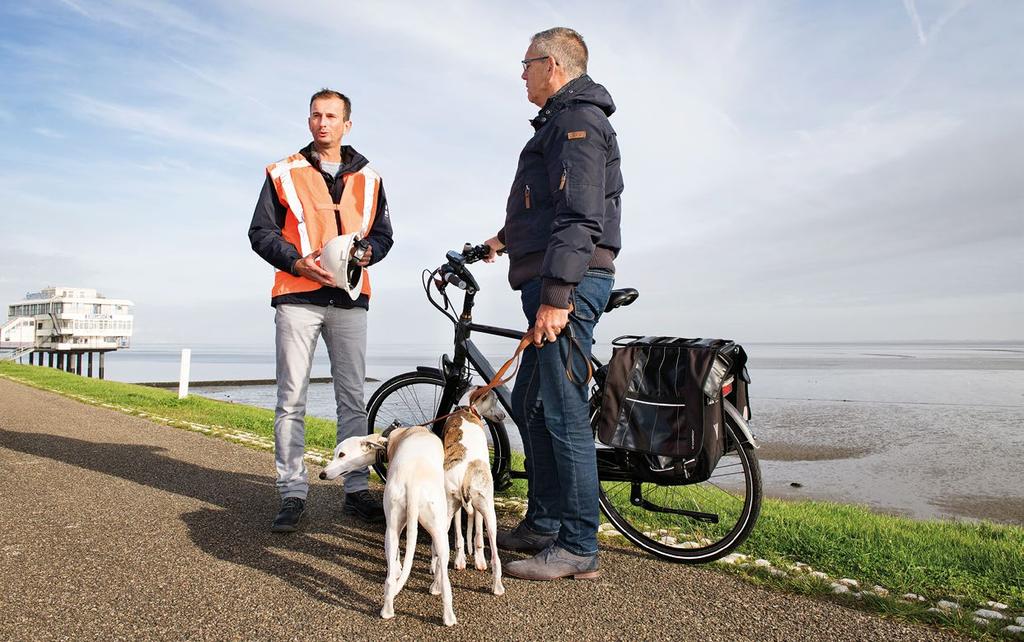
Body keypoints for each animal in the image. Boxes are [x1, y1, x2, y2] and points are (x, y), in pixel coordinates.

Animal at [442, 389, 505, 602]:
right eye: (496, 400)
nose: (504, 416)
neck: (466, 409)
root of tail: (466, 473)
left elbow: (463, 535)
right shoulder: (479, 506)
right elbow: (477, 534)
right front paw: (477, 558)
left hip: (447, 507)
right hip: (488, 511)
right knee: (495, 557)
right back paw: (496, 585)